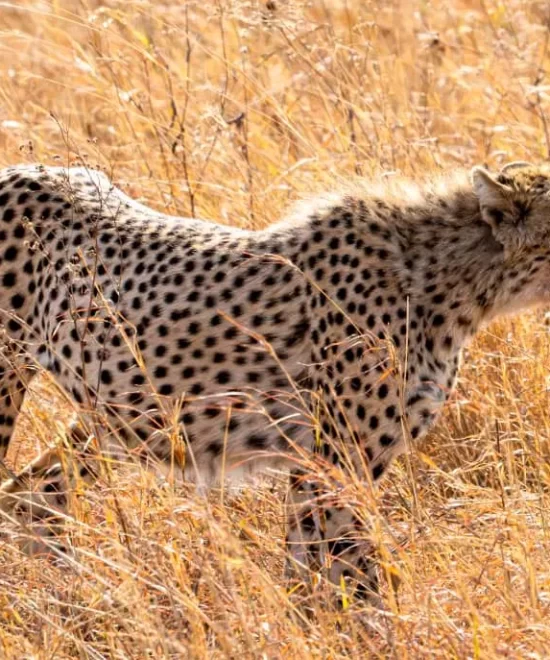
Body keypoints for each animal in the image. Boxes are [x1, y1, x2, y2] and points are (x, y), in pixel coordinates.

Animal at [0, 161, 548, 604]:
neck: (455, 279)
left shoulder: (317, 463)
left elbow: (315, 567)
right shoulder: (335, 463)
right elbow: (348, 575)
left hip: (120, 414)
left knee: (32, 494)